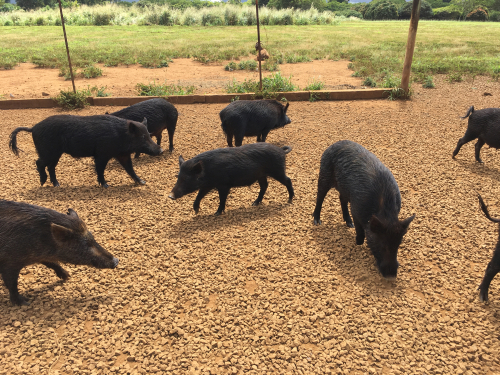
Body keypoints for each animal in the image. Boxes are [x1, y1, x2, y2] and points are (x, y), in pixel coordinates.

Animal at [9, 114, 162, 188]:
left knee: (51, 167)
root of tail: (33, 128)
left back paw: (57, 185)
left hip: (56, 154)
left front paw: (142, 182)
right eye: (142, 137)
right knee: (39, 163)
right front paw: (106, 185)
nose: (160, 150)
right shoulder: (101, 153)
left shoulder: (122, 155)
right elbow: (100, 169)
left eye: (149, 134)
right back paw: (43, 182)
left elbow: (130, 169)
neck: (121, 136)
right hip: (48, 151)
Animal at [312, 140, 414, 280]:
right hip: (324, 173)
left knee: (341, 199)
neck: (385, 212)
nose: (391, 276)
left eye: (398, 244)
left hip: (344, 188)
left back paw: (349, 224)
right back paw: (317, 221)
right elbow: (360, 231)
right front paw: (358, 243)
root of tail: (334, 143)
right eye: (382, 244)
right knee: (320, 195)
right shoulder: (356, 209)